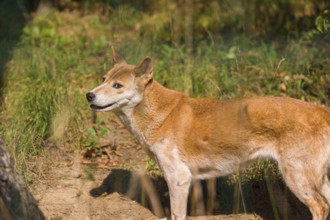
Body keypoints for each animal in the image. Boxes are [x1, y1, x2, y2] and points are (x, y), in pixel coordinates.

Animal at [87, 47, 330, 219]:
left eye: (117, 85)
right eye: (103, 79)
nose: (89, 95)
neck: (158, 112)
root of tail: (323, 111)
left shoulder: (179, 178)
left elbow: (177, 214)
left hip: (296, 177)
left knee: (320, 207)